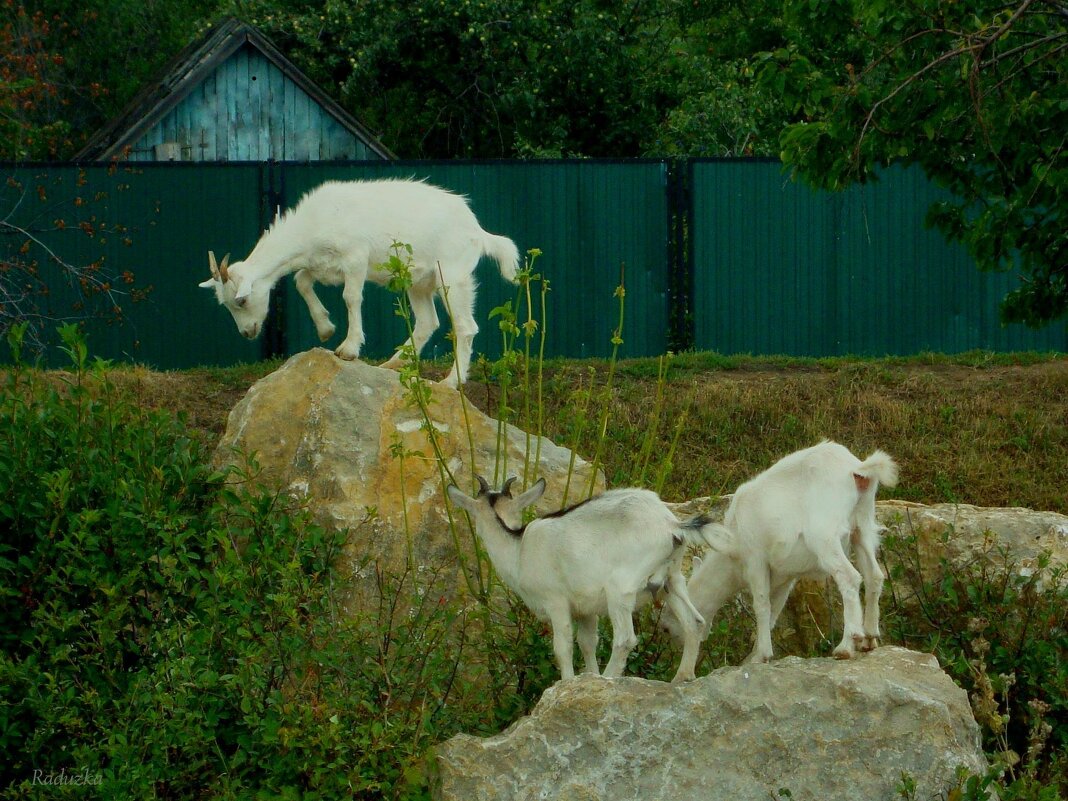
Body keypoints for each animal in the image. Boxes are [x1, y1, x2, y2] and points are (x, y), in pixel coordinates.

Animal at [201, 180, 519, 386]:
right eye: (225, 303)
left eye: (242, 300)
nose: (247, 332)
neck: (313, 225)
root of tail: (477, 231)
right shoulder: (321, 265)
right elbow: (301, 282)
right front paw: (326, 328)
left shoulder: (355, 259)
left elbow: (351, 297)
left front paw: (349, 348)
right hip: (417, 281)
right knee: (428, 321)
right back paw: (394, 363)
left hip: (451, 276)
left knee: (465, 327)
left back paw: (452, 381)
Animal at [446, 476, 713, 683]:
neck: (519, 549)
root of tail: (672, 525)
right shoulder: (586, 609)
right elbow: (587, 643)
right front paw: (588, 677)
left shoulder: (555, 601)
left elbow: (563, 647)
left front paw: (567, 683)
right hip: (672, 581)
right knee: (694, 622)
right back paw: (682, 677)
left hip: (620, 588)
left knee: (625, 639)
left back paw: (609, 678)